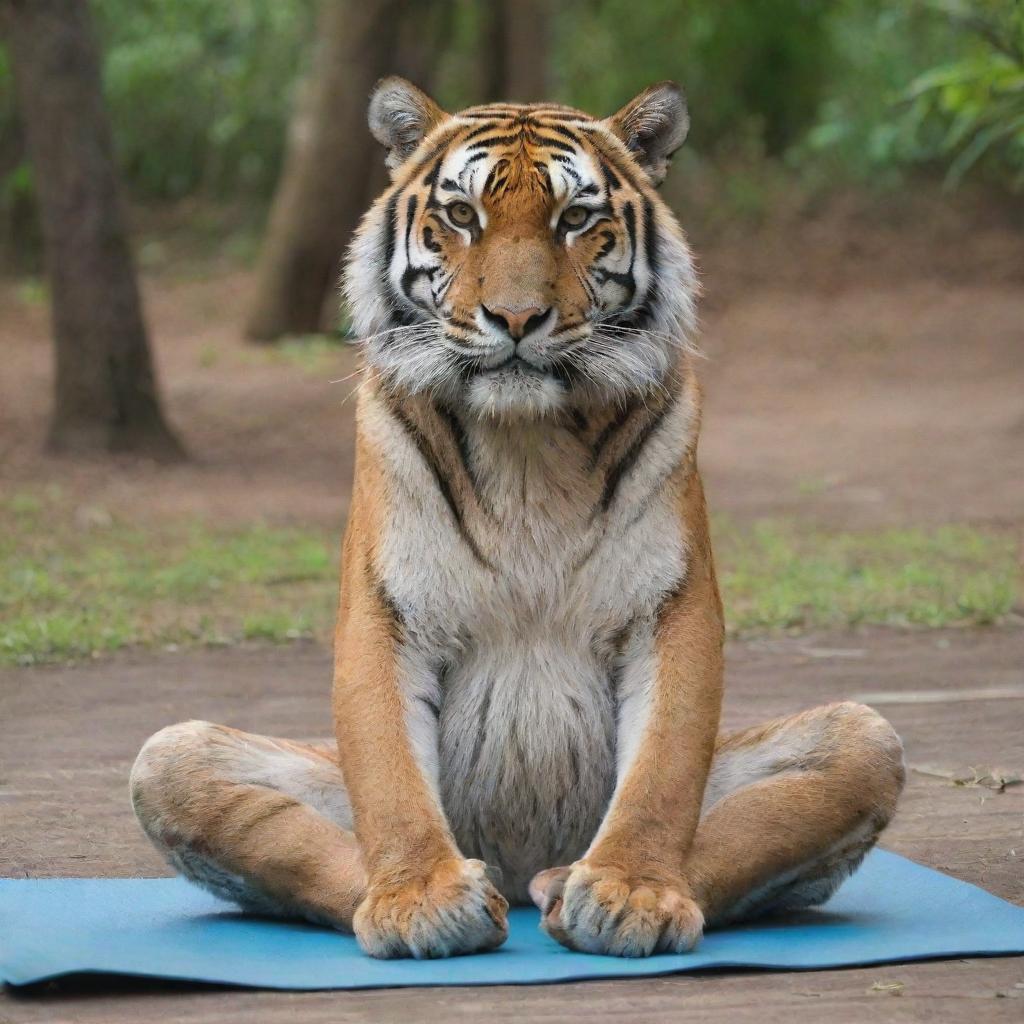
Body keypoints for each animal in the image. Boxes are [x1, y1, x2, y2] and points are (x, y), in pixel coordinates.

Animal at [128, 77, 905, 958]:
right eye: (464, 215)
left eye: (575, 218)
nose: (517, 317)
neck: (528, 437)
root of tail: (523, 861)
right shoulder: (386, 605)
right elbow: (388, 773)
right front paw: (420, 901)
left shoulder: (670, 603)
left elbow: (666, 766)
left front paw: (633, 894)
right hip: (177, 760)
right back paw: (453, 893)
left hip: (862, 738)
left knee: (823, 768)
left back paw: (569, 885)